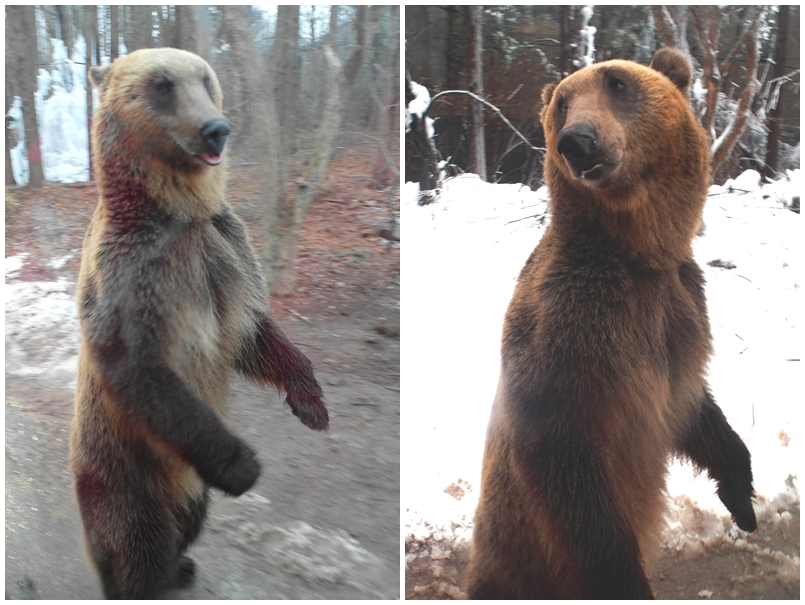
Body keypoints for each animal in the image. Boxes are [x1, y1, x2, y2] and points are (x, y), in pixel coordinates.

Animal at [71, 50, 326, 600]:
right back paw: (146, 578)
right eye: (161, 85)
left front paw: (310, 399)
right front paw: (244, 466)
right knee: (138, 542)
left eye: (206, 79)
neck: (179, 214)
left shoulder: (224, 252)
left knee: (188, 519)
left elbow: (252, 334)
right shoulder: (135, 276)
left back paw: (181, 565)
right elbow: (141, 370)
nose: (216, 129)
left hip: (187, 484)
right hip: (127, 474)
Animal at [464, 48, 752, 600]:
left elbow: (695, 405)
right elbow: (569, 469)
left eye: (617, 82)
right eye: (562, 102)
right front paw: (627, 579)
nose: (577, 141)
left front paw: (743, 499)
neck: (637, 253)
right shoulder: (571, 328)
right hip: (512, 560)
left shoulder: (680, 317)